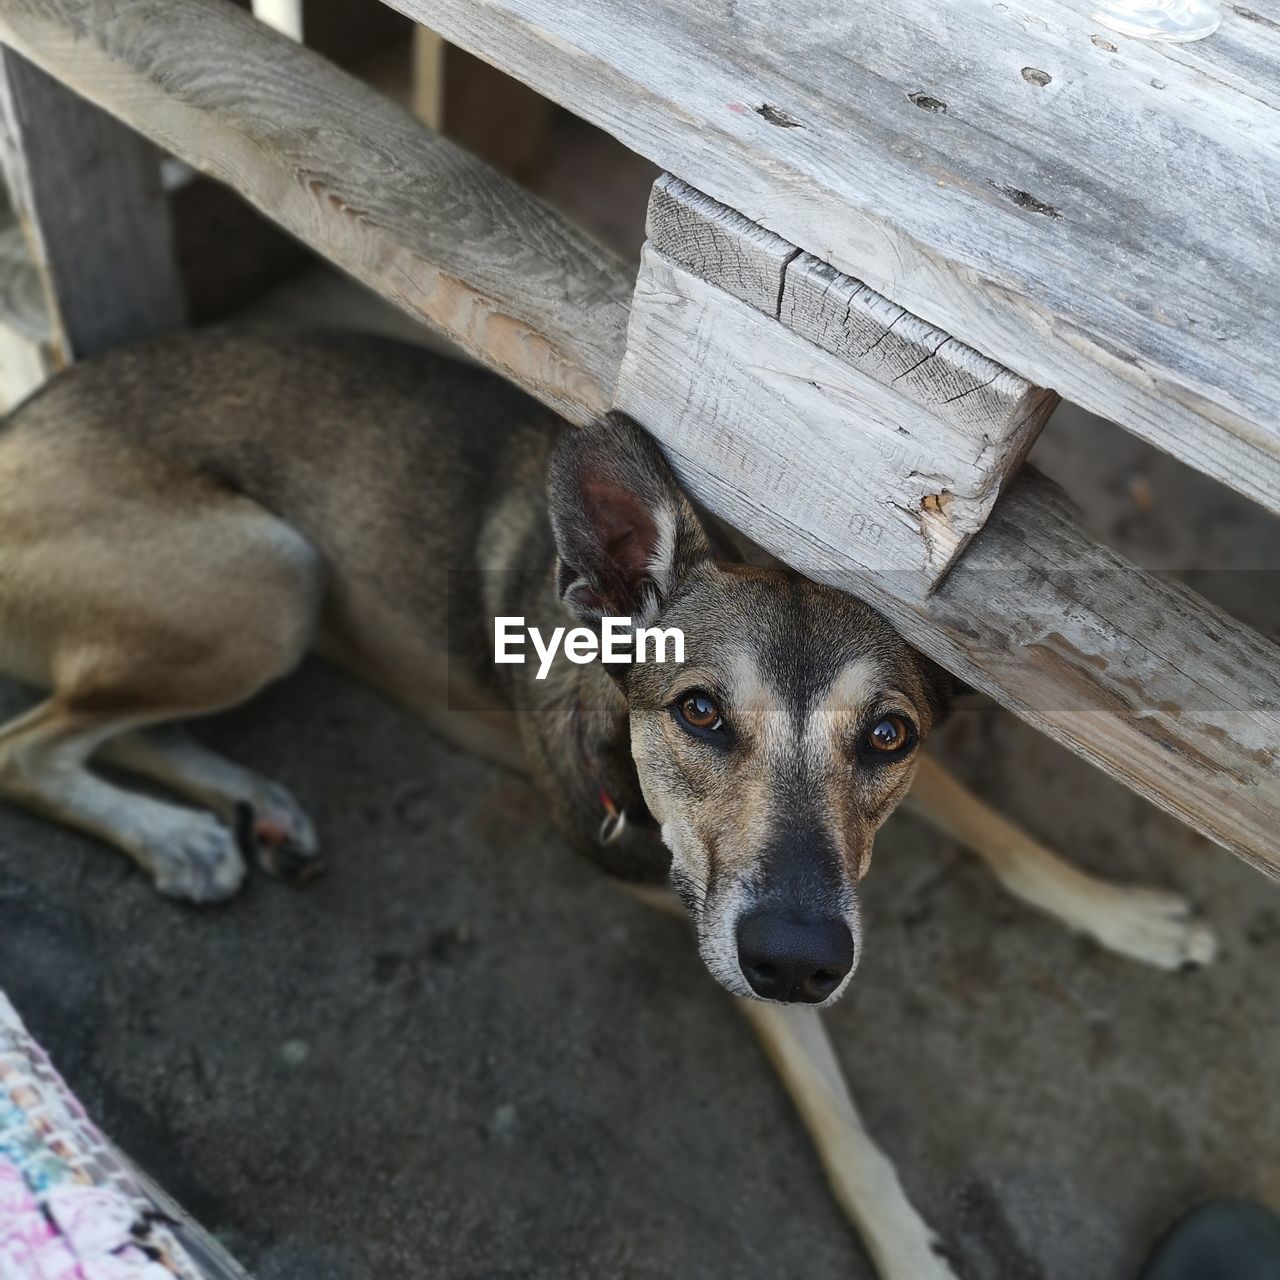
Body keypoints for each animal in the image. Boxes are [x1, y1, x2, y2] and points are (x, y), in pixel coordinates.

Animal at [0, 330, 1218, 1280]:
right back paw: (174, 837)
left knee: (110, 724)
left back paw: (246, 810)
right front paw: (906, 1246)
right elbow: (837, 1121)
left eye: (887, 736)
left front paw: (1120, 911)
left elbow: (1001, 836)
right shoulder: (714, 922)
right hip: (271, 577)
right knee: (26, 747)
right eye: (698, 711)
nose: (801, 961)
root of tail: (23, 419)